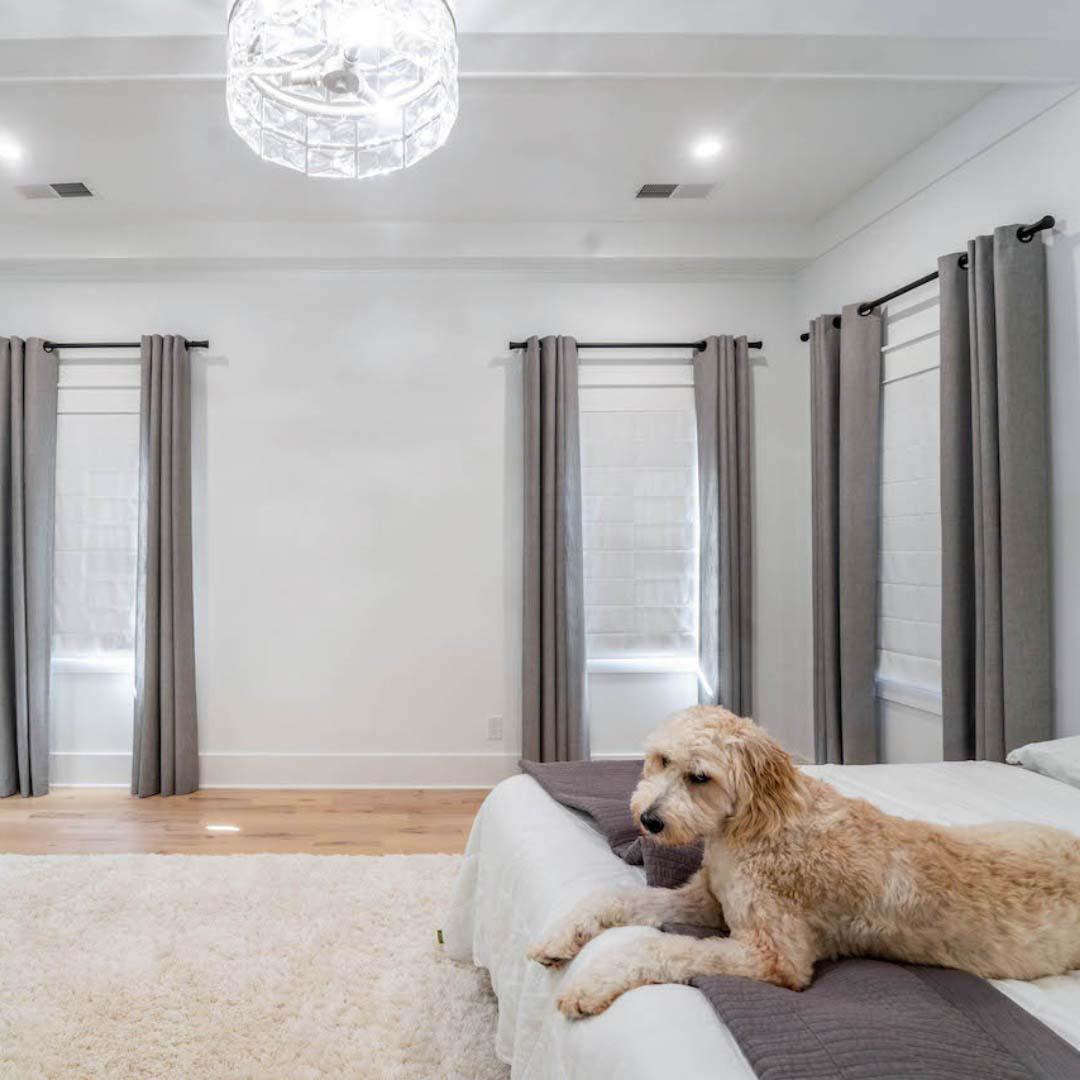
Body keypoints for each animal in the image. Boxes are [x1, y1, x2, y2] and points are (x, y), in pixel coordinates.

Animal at [527, 704, 1080, 1015]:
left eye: (700, 777)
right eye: (661, 761)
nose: (648, 821)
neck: (754, 826)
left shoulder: (774, 955)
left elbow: (659, 947)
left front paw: (591, 983)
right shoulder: (708, 901)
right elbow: (614, 895)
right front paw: (561, 936)